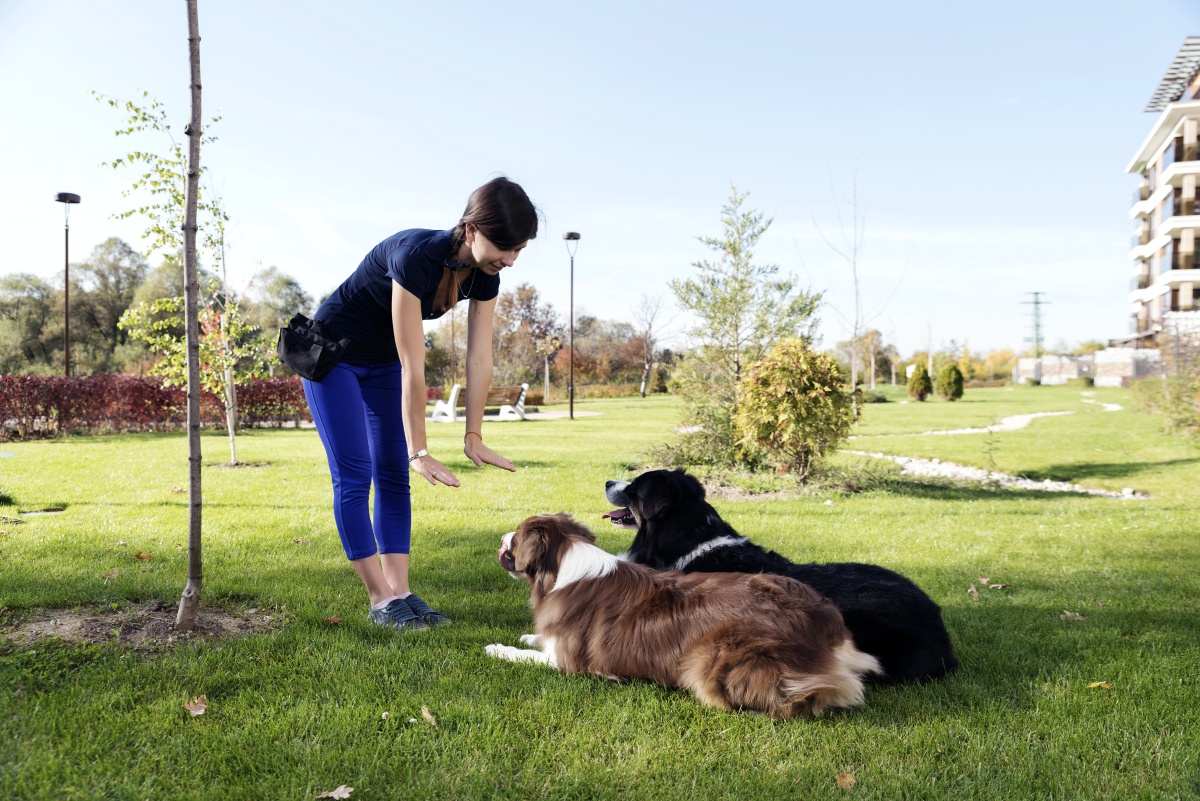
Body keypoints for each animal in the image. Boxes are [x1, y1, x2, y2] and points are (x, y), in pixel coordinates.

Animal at [484, 513, 883, 719]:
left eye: (515, 538)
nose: (501, 537)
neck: (565, 564)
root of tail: (826, 624)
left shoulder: (565, 662)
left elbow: (523, 654)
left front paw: (498, 648)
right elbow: (535, 640)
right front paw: (528, 635)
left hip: (713, 658)